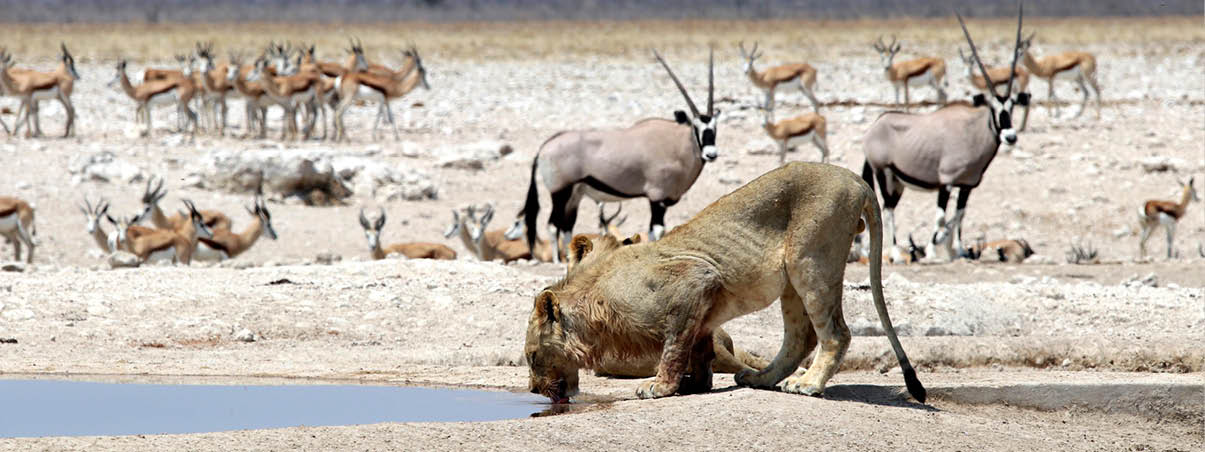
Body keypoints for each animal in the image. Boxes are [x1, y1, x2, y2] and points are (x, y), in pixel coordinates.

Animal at [525, 162, 925, 403]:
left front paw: (659, 386)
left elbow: (674, 347)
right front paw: (693, 384)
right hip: (792, 280)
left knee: (835, 333)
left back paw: (809, 384)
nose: (533, 390)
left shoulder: (694, 280)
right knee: (800, 337)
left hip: (811, 259)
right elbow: (697, 349)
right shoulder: (701, 310)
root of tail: (857, 180)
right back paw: (761, 378)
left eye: (531, 357)